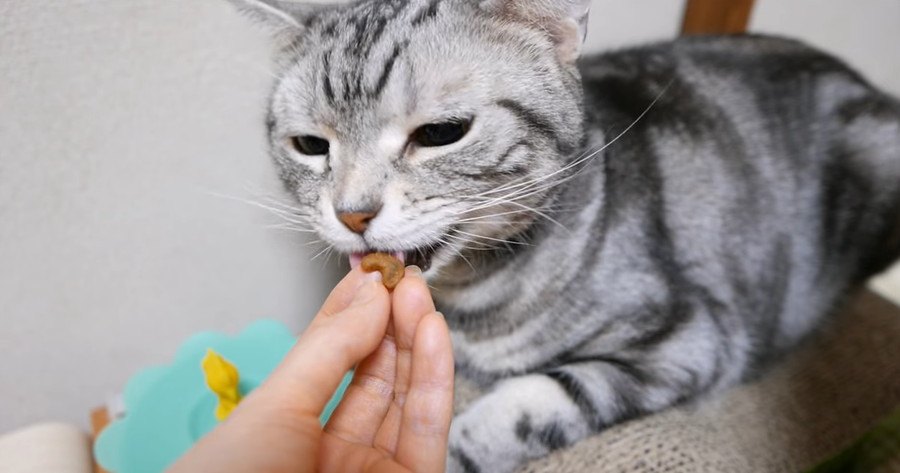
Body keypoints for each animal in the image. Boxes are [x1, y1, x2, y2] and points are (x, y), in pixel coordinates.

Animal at [227, 0, 900, 470]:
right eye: (310, 145)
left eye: (442, 133)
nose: (352, 214)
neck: (470, 298)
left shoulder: (687, 340)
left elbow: (523, 406)